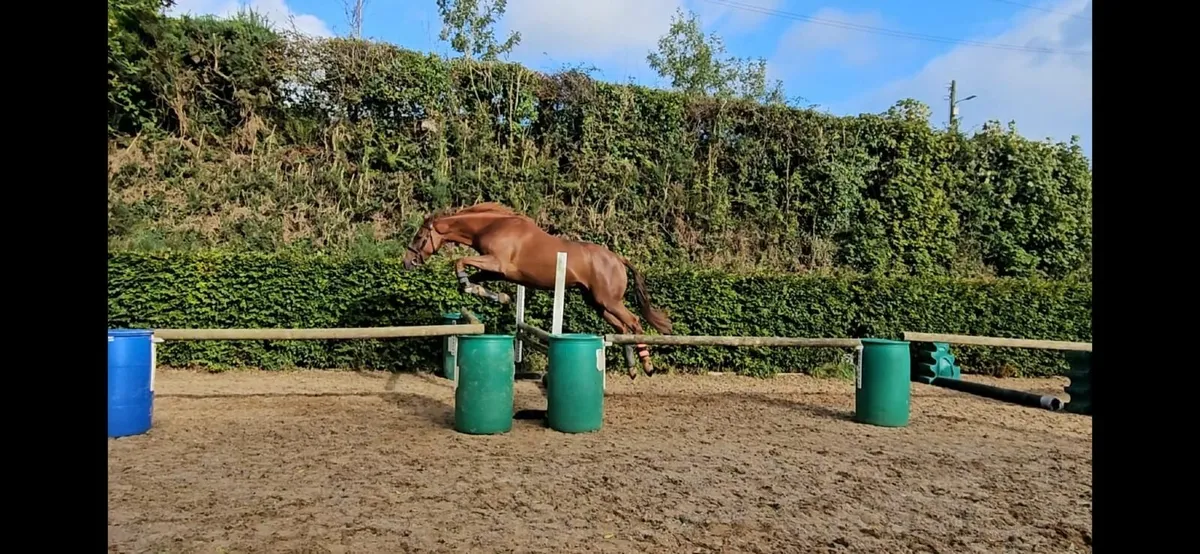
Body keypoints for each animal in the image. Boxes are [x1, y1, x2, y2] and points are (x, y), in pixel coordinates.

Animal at [400, 202, 673, 378]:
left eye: (419, 238)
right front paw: (494, 295)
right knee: (621, 328)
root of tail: (617, 258)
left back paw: (647, 365)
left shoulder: (497, 263)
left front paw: (472, 286)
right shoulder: (496, 270)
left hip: (609, 301)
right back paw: (632, 368)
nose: (406, 262)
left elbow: (459, 262)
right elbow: (472, 274)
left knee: (634, 321)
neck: (491, 226)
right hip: (597, 303)